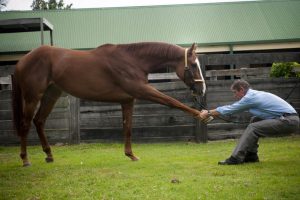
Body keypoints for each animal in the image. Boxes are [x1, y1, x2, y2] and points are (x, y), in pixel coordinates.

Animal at [11, 41, 206, 166]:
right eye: (193, 65)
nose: (202, 89)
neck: (132, 60)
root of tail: (22, 61)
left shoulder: (127, 100)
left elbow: (127, 128)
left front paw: (131, 155)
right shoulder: (142, 91)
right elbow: (172, 101)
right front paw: (203, 115)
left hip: (51, 95)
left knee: (39, 121)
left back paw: (49, 155)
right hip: (32, 97)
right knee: (26, 124)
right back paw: (25, 159)